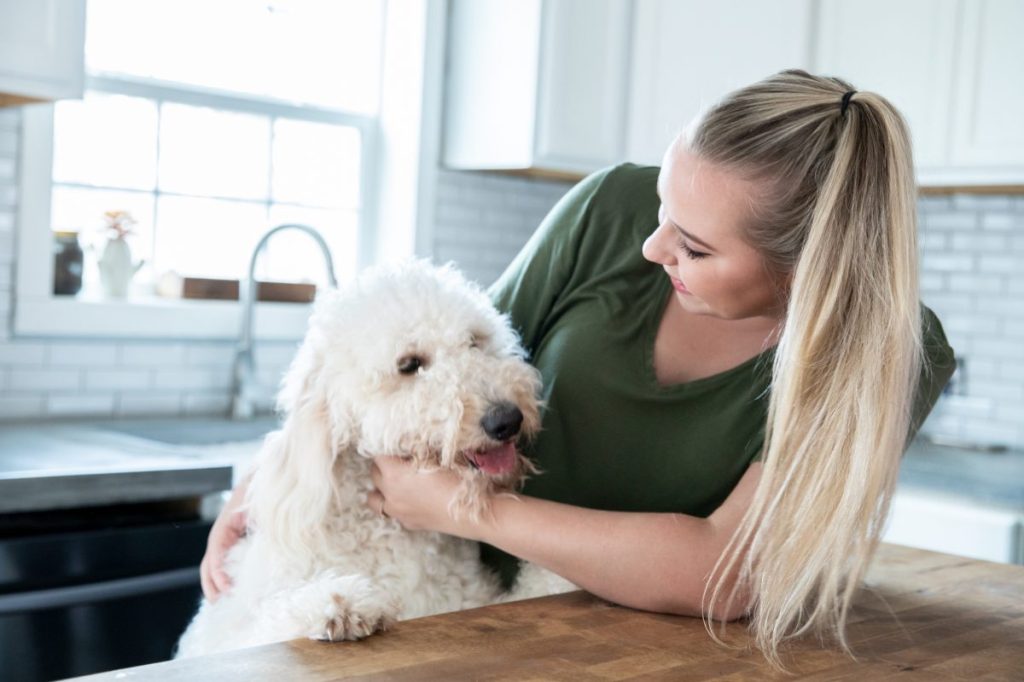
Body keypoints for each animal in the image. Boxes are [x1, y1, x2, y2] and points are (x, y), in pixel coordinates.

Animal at [176, 258, 577, 655]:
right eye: (410, 364)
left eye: (474, 342)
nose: (507, 419)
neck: (386, 531)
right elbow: (273, 623)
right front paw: (337, 602)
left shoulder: (467, 599)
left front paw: (558, 574)